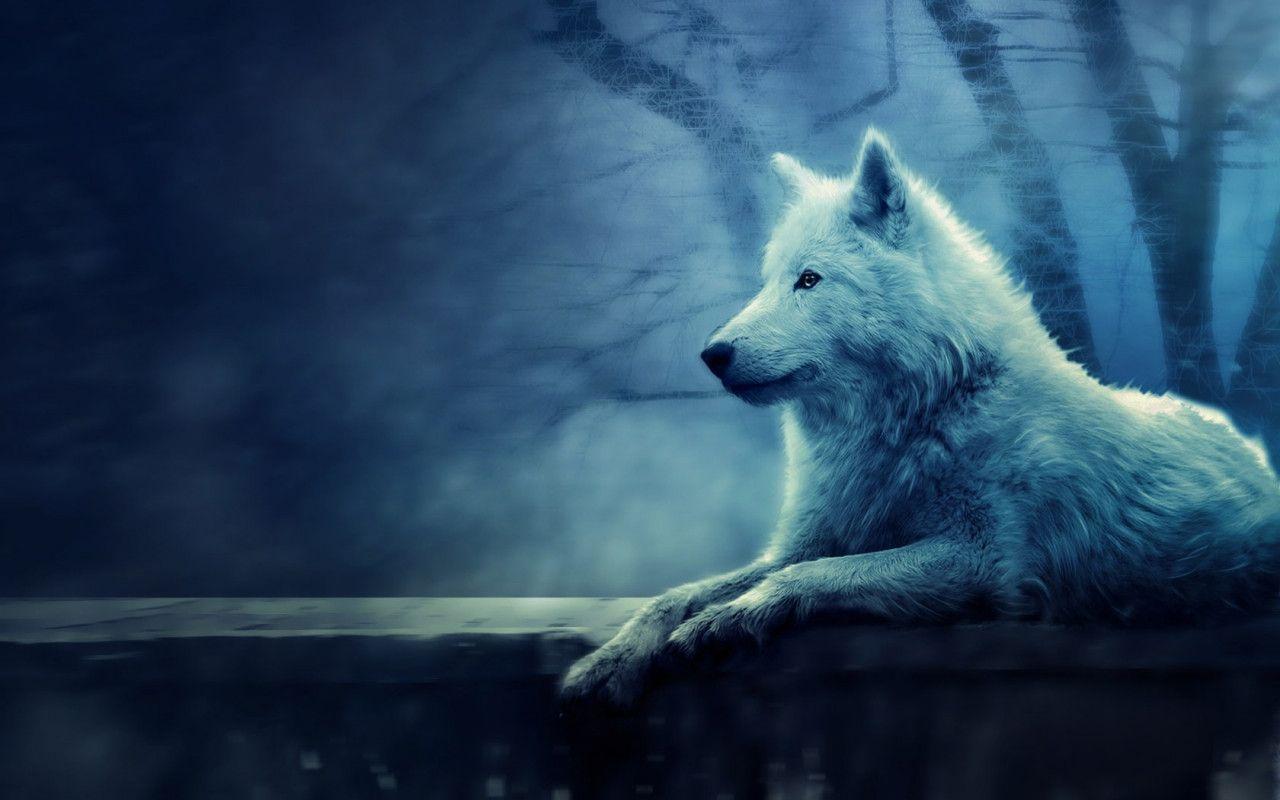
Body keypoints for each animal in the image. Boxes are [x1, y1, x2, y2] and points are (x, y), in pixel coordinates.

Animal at [560, 128, 1280, 707]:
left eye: (810, 280)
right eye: (768, 281)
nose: (713, 354)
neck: (918, 414)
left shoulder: (987, 563)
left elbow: (812, 576)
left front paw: (729, 620)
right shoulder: (812, 538)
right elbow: (677, 594)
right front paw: (610, 662)